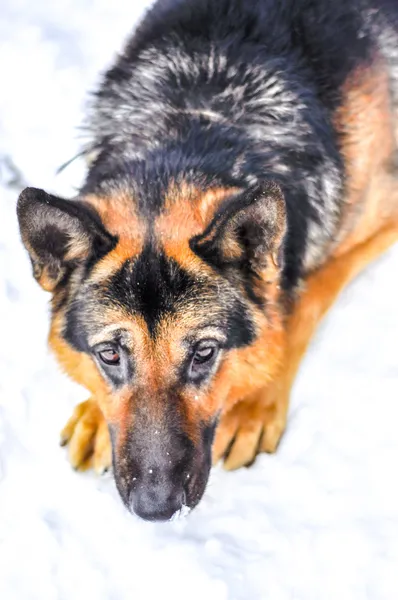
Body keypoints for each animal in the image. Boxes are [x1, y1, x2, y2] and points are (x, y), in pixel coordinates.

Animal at [17, 0, 398, 520]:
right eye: (110, 354)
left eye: (204, 353)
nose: (156, 508)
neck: (201, 116)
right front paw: (95, 413)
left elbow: (301, 303)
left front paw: (255, 403)